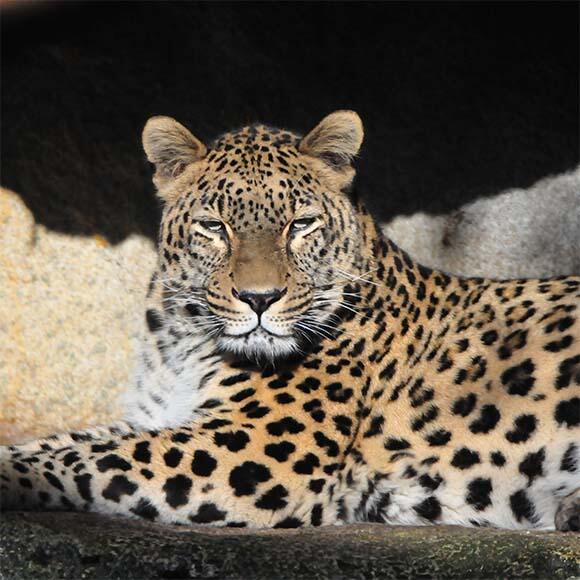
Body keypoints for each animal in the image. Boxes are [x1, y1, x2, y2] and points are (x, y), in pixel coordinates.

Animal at [1, 111, 580, 532]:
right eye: (215, 226)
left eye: (300, 224)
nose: (260, 298)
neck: (182, 339)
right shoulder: (162, 415)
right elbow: (70, 441)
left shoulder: (249, 443)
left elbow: (93, 459)